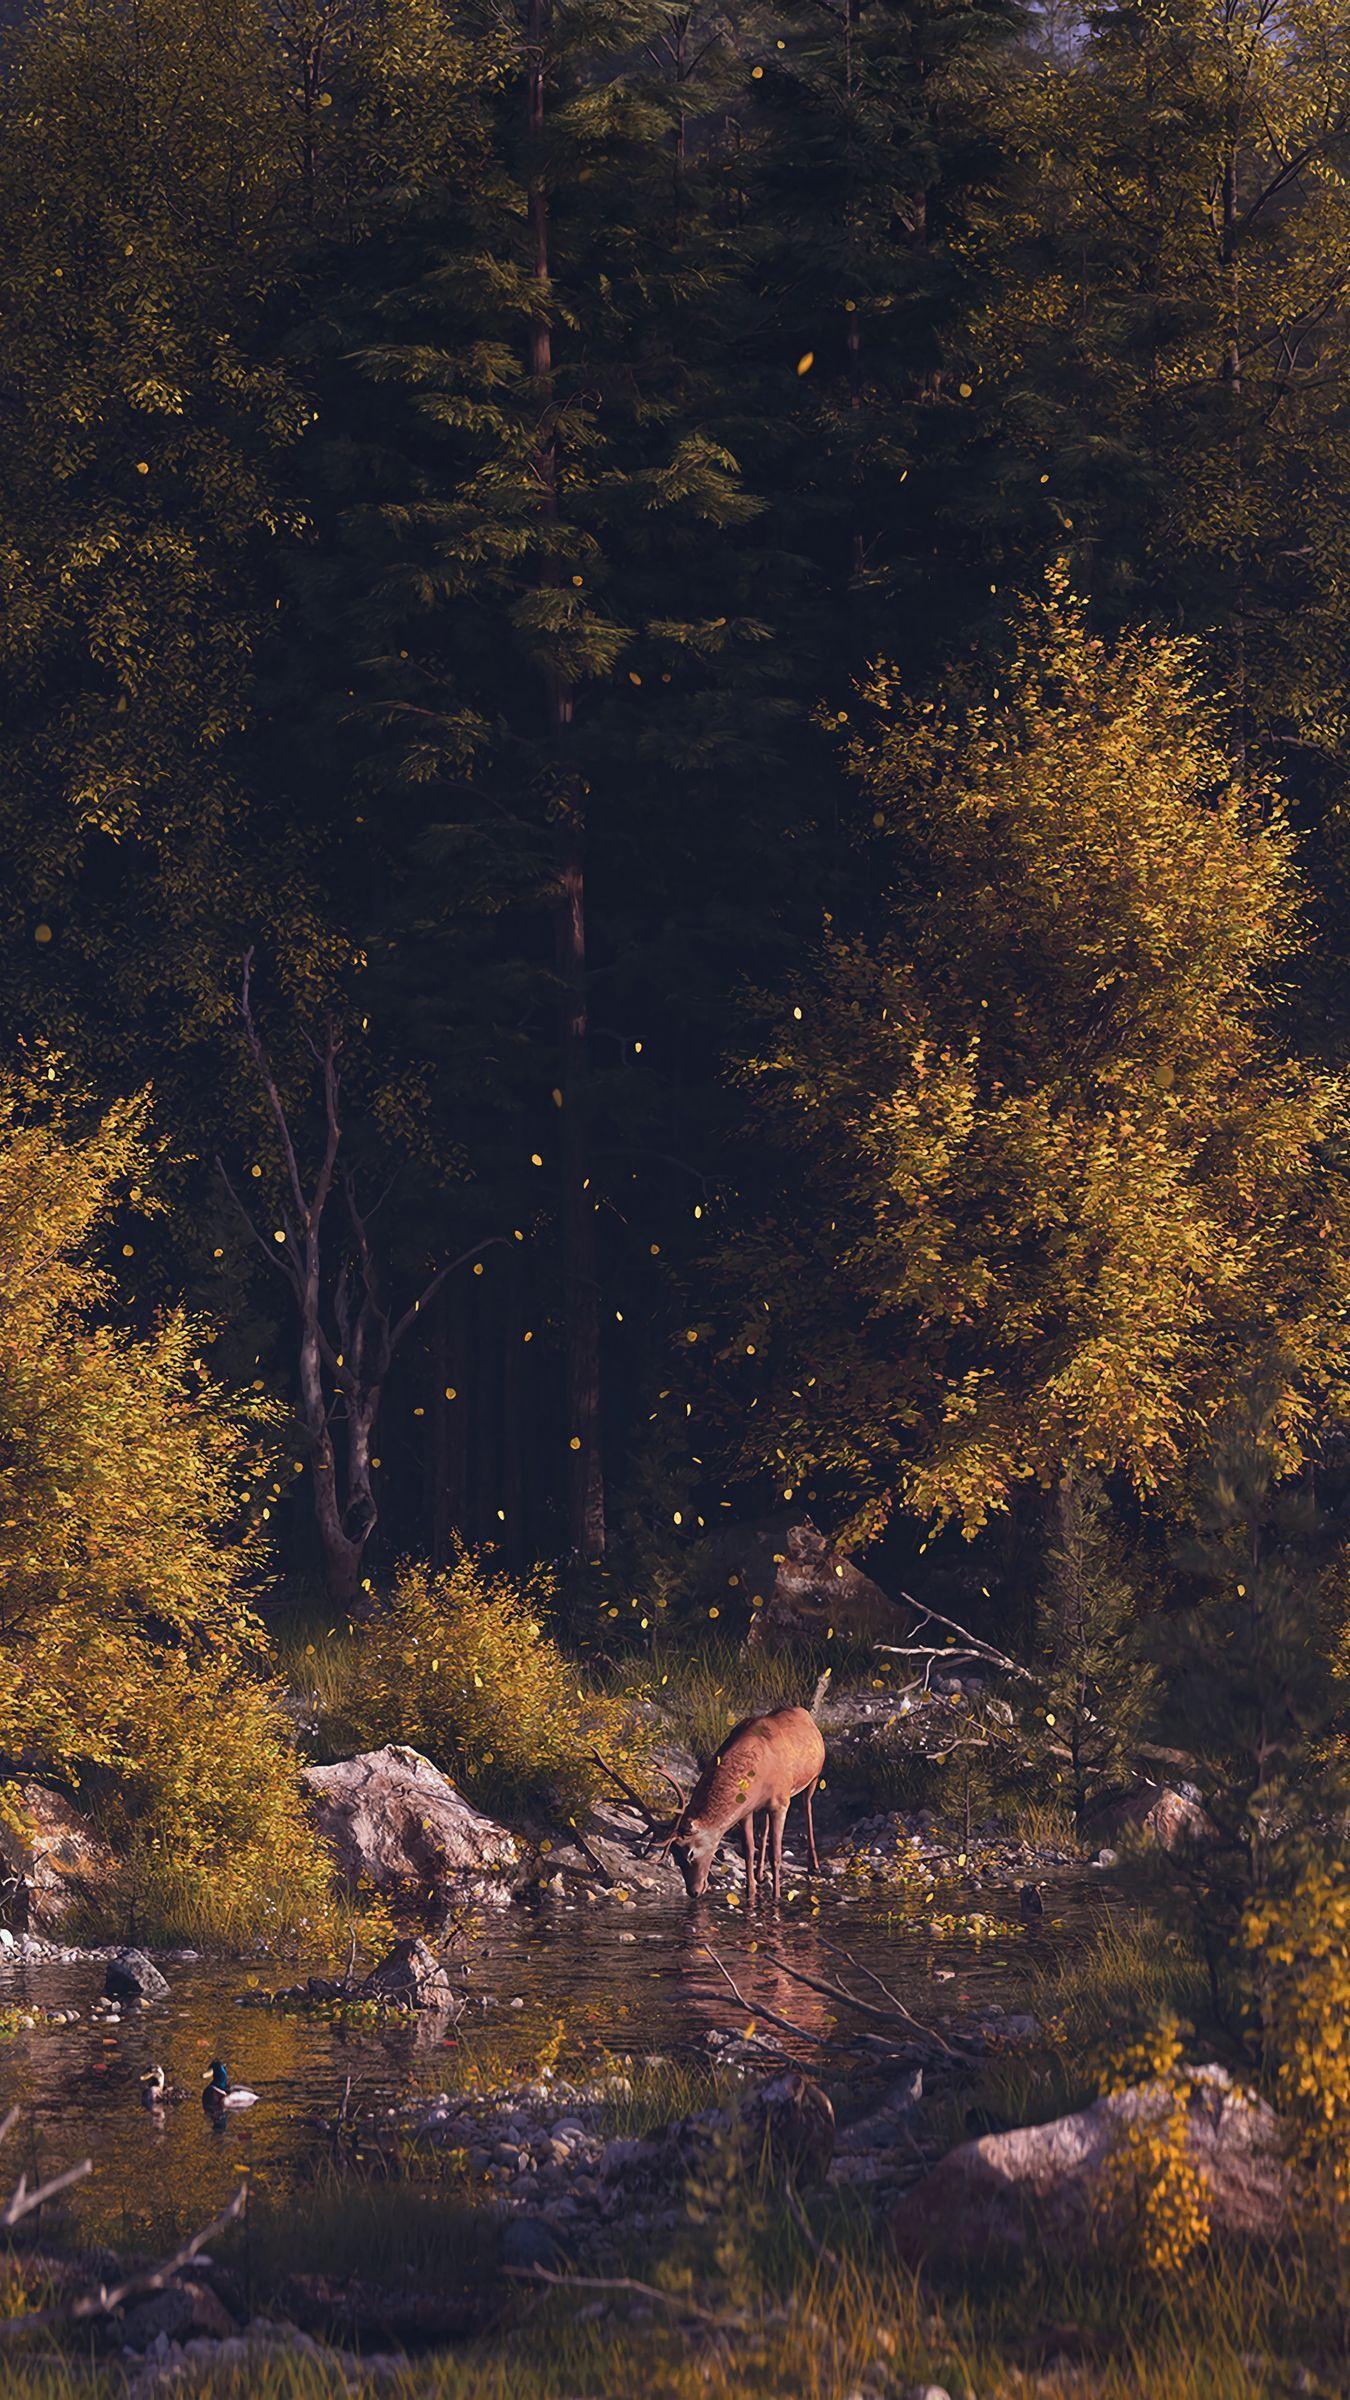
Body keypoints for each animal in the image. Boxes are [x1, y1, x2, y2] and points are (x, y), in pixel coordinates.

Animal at [594, 1672, 828, 1909]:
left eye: (690, 1853)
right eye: (675, 1856)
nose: (694, 1891)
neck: (760, 1772)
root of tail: (805, 1713)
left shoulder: (781, 1802)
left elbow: (777, 1855)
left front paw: (777, 1898)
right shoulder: (747, 1810)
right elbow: (748, 1850)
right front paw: (750, 1894)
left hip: (814, 1776)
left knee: (808, 1806)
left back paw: (813, 1865)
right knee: (765, 1828)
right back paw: (761, 1875)